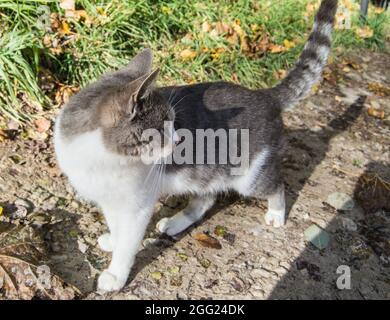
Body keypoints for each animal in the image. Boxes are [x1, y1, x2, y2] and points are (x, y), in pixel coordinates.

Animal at [54, 0, 338, 292]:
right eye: (163, 127)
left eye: (173, 121)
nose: (179, 139)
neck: (104, 159)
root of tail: (263, 95)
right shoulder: (110, 198)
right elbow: (116, 225)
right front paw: (113, 238)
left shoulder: (137, 205)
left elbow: (128, 242)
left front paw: (115, 273)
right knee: (206, 198)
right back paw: (176, 221)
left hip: (249, 176)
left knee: (275, 185)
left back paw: (276, 213)